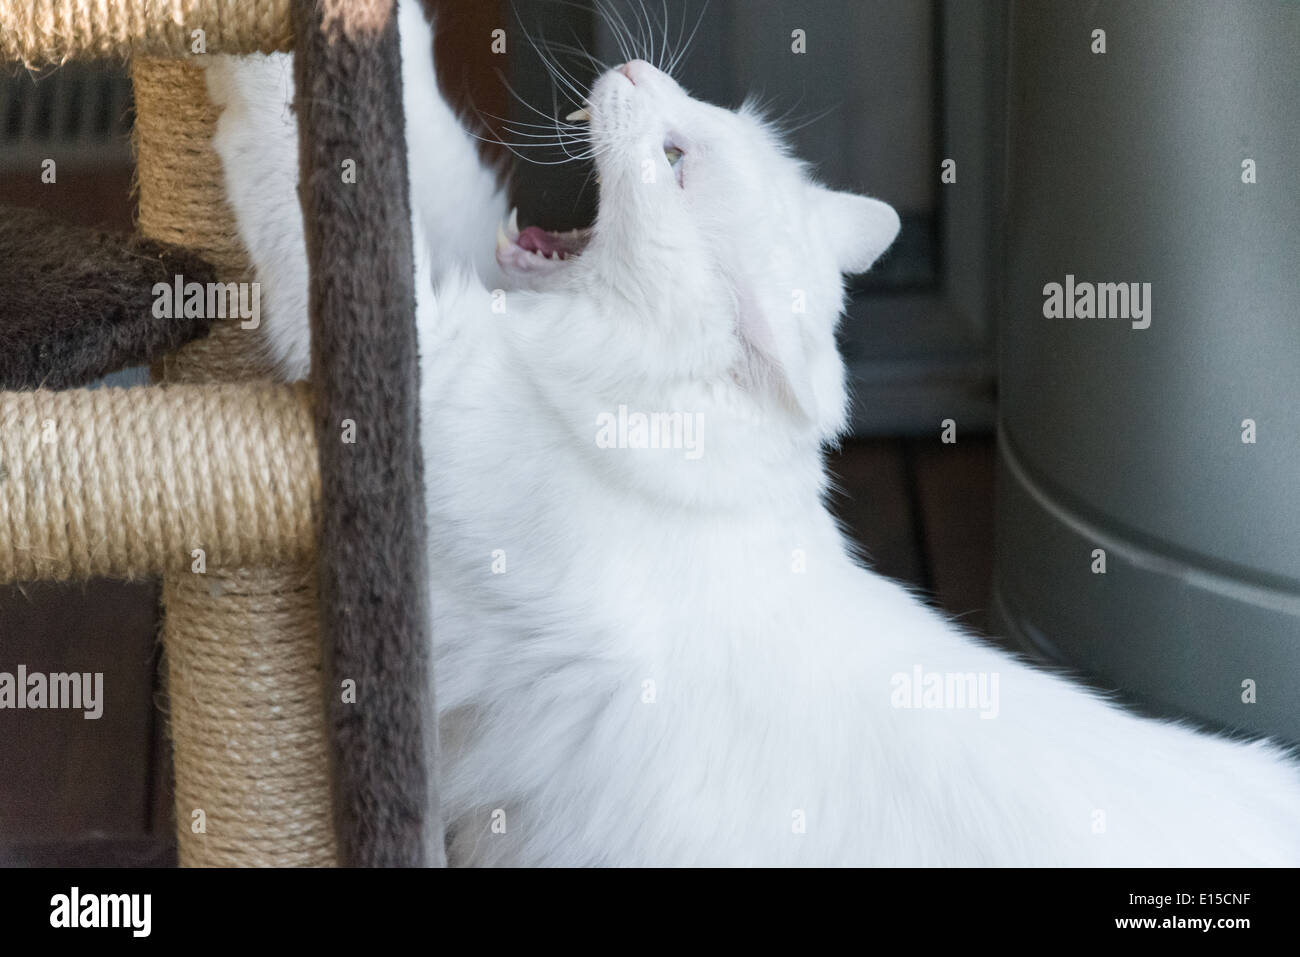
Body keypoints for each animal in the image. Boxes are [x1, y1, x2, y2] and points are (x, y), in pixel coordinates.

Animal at [208, 1, 1294, 868]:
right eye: (698, 117)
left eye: (676, 160)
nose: (635, 73)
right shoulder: (464, 264)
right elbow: (423, 126)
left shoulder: (429, 367)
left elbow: (292, 138)